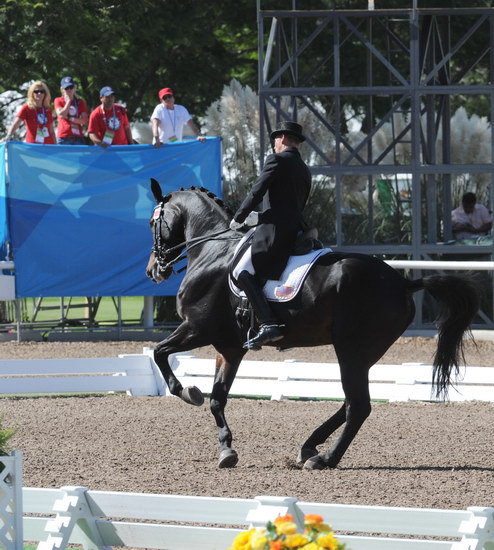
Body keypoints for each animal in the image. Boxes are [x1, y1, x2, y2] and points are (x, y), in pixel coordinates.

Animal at [146, 180, 478, 470]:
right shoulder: (229, 348)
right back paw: (309, 446)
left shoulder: (196, 328)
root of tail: (403, 283)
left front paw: (187, 392)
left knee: (358, 405)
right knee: (350, 402)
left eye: (152, 224)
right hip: (364, 354)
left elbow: (160, 353)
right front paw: (227, 450)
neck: (213, 250)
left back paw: (324, 459)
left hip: (351, 350)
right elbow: (217, 398)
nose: (153, 271)